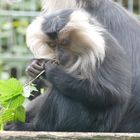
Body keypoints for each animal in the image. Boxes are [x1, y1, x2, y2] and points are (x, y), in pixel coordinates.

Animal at [5, 9, 133, 132]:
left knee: (60, 91)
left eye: (64, 42)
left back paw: (33, 127)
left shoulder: (103, 51)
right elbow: (35, 95)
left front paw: (53, 71)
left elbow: (109, 94)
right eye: (52, 44)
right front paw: (33, 69)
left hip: (84, 124)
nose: (58, 54)